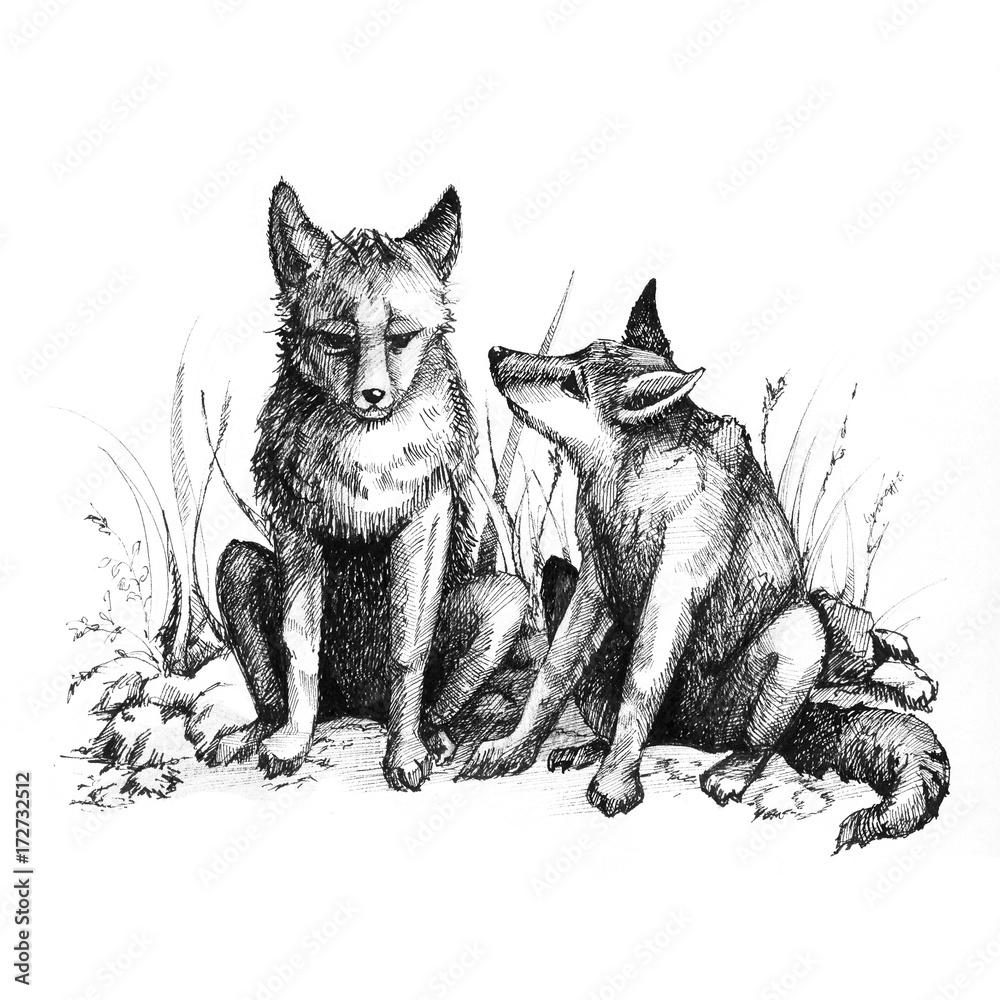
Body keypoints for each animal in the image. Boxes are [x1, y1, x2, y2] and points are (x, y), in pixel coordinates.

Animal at [207, 180, 528, 788]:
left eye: (401, 339)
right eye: (337, 341)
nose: (374, 395)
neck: (368, 447)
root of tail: (359, 707)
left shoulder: (423, 526)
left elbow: (407, 650)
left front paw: (403, 753)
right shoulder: (298, 533)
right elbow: (299, 647)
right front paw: (292, 744)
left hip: (506, 599)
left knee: (436, 702)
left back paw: (431, 738)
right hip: (237, 566)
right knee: (275, 693)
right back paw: (259, 733)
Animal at [461, 278, 949, 850]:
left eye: (573, 381)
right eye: (570, 355)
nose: (494, 352)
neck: (636, 482)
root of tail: (692, 735)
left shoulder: (672, 594)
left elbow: (641, 686)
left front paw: (616, 786)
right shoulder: (594, 582)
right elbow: (554, 675)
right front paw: (515, 751)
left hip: (796, 631)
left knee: (766, 733)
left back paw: (735, 767)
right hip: (561, 576)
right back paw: (592, 748)